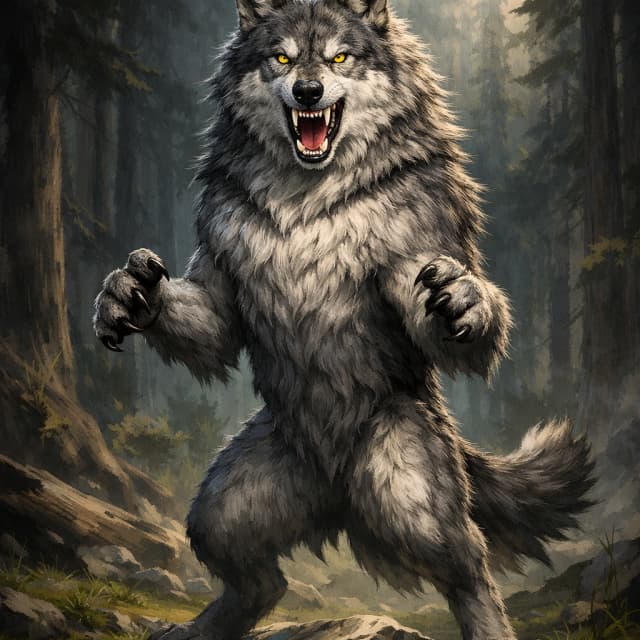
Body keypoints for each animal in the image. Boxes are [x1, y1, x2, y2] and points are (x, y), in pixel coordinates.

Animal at [93, 1, 594, 638]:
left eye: (338, 58)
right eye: (282, 57)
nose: (308, 90)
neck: (307, 197)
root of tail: (332, 490)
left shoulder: (414, 255)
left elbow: (446, 313)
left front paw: (465, 300)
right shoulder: (221, 275)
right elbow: (211, 322)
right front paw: (131, 293)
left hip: (408, 498)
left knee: (471, 572)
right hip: (223, 508)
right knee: (263, 583)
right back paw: (199, 628)